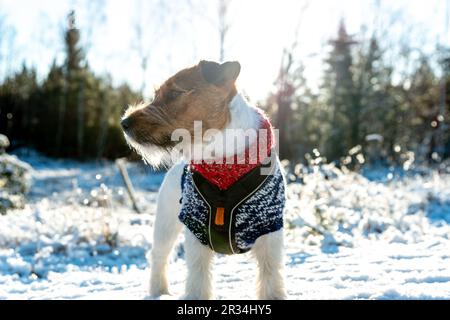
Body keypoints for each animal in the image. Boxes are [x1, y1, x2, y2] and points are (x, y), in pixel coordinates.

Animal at [121, 60, 286, 300]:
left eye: (174, 93)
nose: (124, 122)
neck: (223, 162)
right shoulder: (197, 227)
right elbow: (198, 274)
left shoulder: (269, 229)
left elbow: (270, 272)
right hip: (165, 225)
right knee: (159, 257)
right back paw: (158, 291)